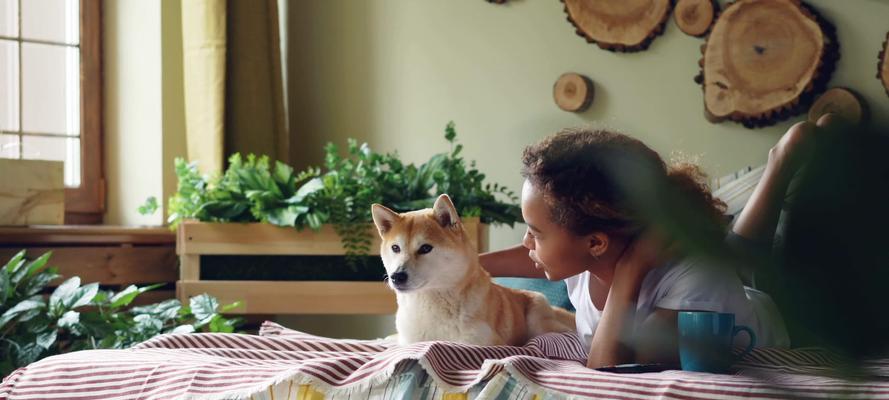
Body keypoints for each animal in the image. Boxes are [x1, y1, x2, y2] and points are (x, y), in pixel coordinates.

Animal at [370, 195, 572, 346]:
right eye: (395, 248)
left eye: (425, 248)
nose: (396, 276)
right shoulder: (408, 342)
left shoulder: (481, 342)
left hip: (539, 319)